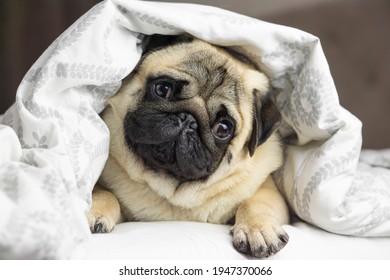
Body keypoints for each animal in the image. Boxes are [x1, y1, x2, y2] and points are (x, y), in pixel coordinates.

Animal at [87, 34, 290, 258]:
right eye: (162, 89)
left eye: (223, 128)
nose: (187, 120)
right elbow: (103, 192)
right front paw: (93, 208)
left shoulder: (267, 189)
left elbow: (255, 202)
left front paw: (257, 227)